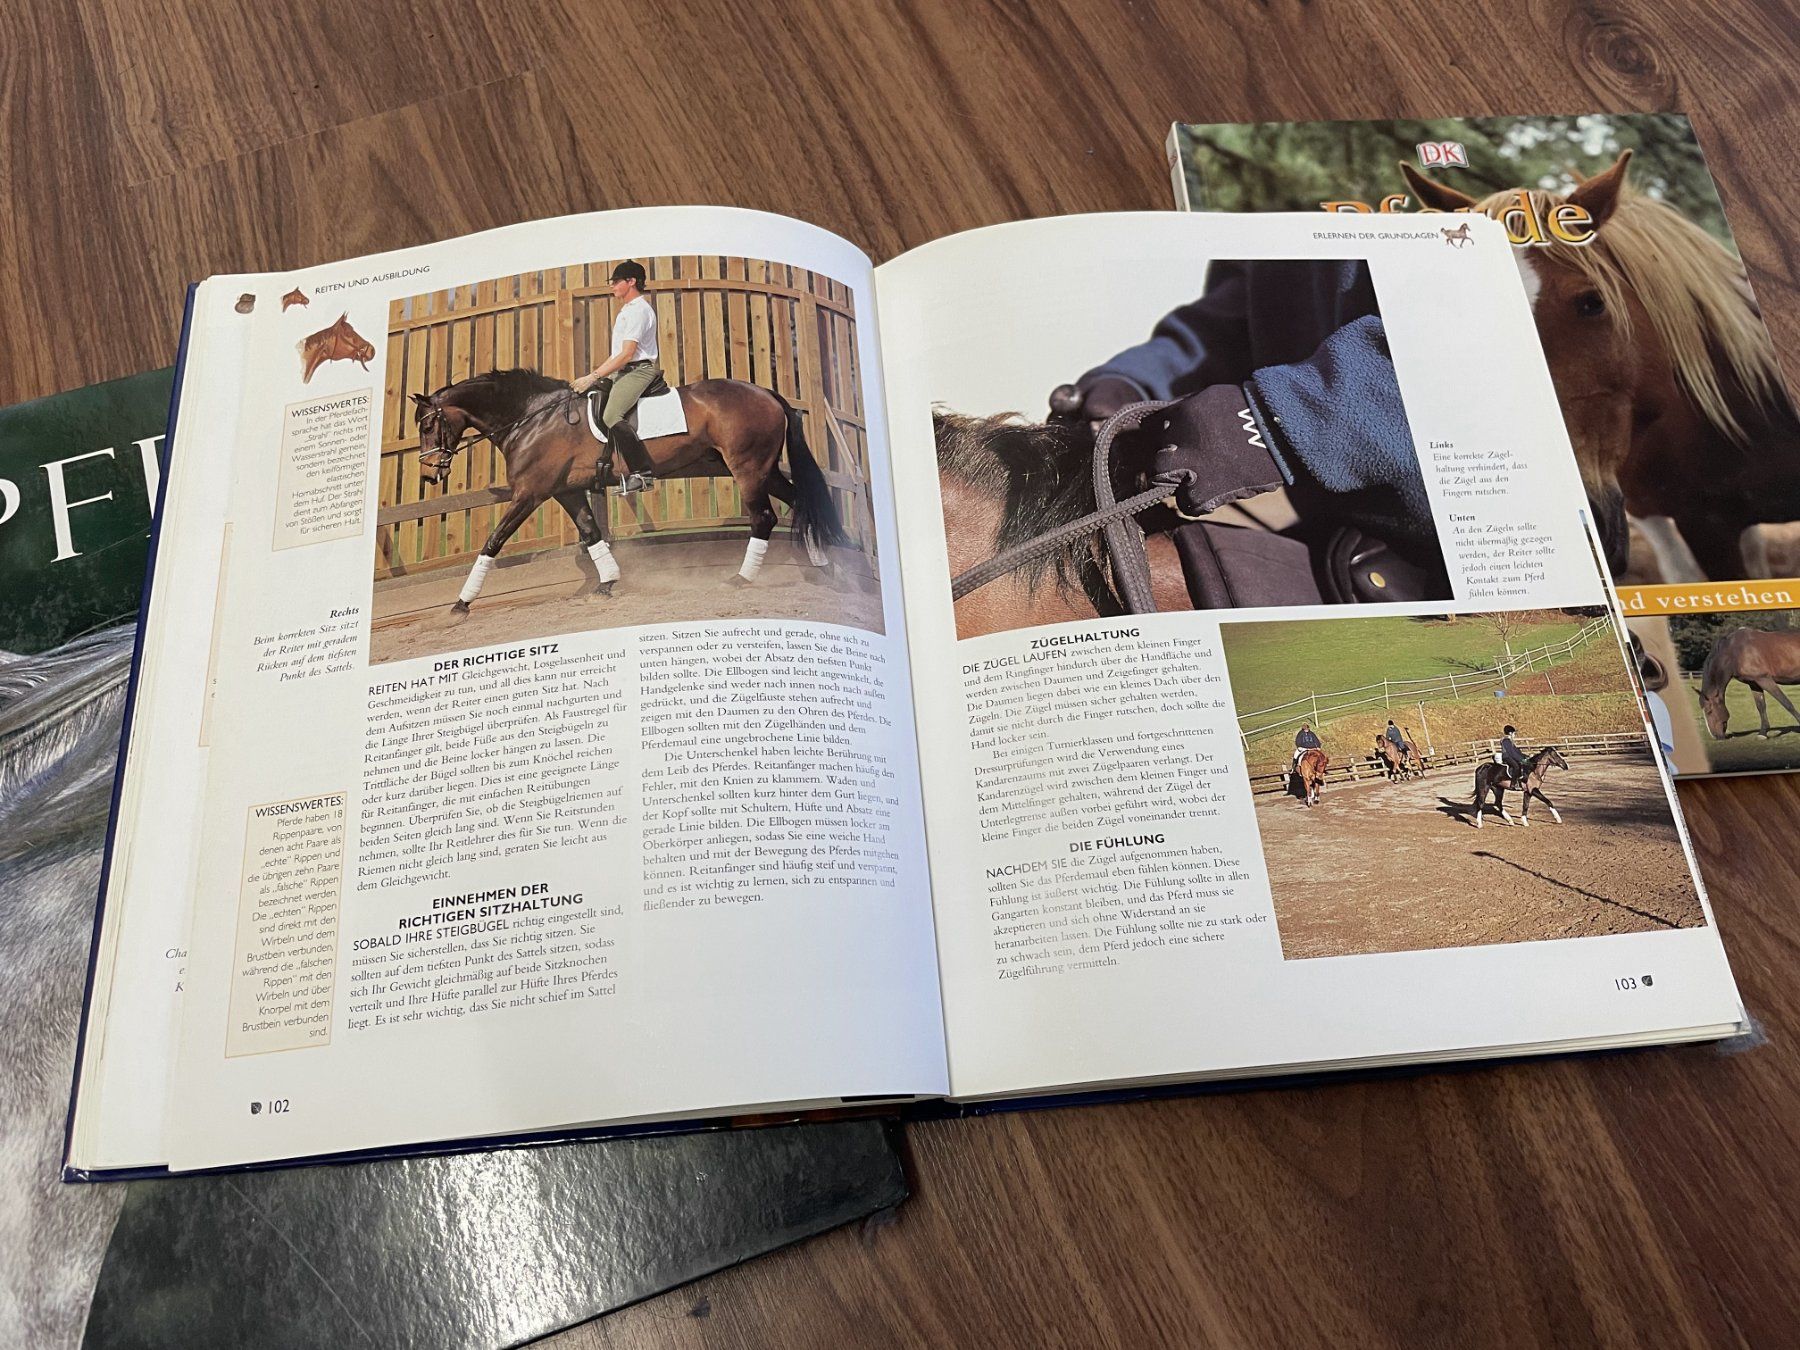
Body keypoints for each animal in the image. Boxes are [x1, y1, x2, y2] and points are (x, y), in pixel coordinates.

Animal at [410, 369, 846, 617]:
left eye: (428, 425)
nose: (430, 474)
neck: (533, 418)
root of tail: (766, 393)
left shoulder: (530, 494)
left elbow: (493, 541)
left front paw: (461, 603)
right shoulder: (566, 492)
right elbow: (591, 533)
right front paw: (607, 583)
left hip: (748, 468)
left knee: (764, 518)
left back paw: (741, 579)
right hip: (761, 469)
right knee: (799, 503)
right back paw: (825, 570)